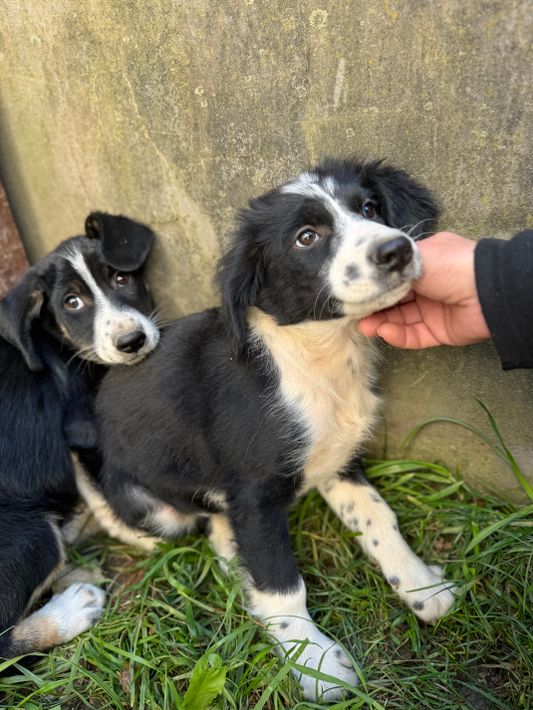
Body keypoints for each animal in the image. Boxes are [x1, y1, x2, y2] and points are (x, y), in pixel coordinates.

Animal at [0, 212, 159, 660]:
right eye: (72, 303)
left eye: (121, 278)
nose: (131, 341)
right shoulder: (80, 426)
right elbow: (101, 489)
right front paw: (144, 534)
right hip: (31, 533)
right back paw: (73, 607)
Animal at [80, 159, 456, 702]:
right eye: (306, 237)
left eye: (369, 208)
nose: (397, 249)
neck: (318, 355)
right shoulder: (254, 495)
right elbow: (281, 585)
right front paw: (315, 663)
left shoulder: (337, 462)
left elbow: (378, 517)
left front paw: (420, 585)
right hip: (150, 506)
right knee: (196, 518)